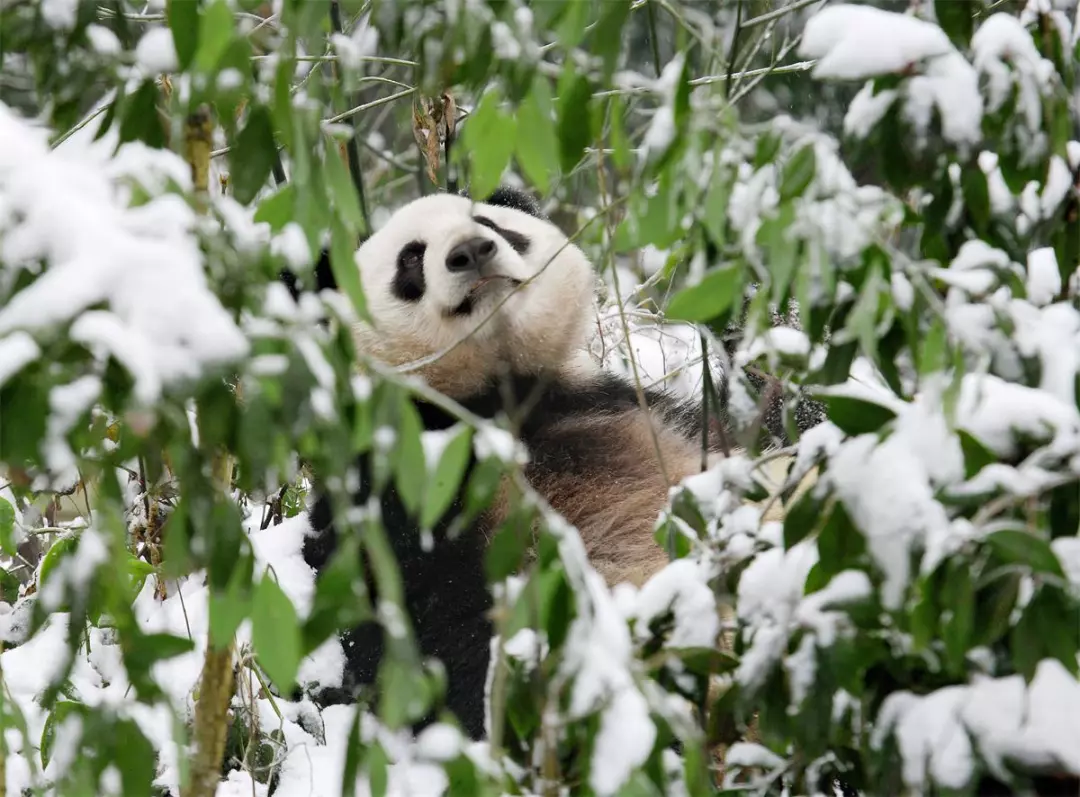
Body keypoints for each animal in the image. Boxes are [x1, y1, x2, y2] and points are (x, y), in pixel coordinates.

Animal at [282, 185, 794, 743]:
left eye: (491, 224)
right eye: (410, 259)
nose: (472, 251)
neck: (495, 399)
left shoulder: (629, 411)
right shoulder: (395, 486)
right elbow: (416, 627)